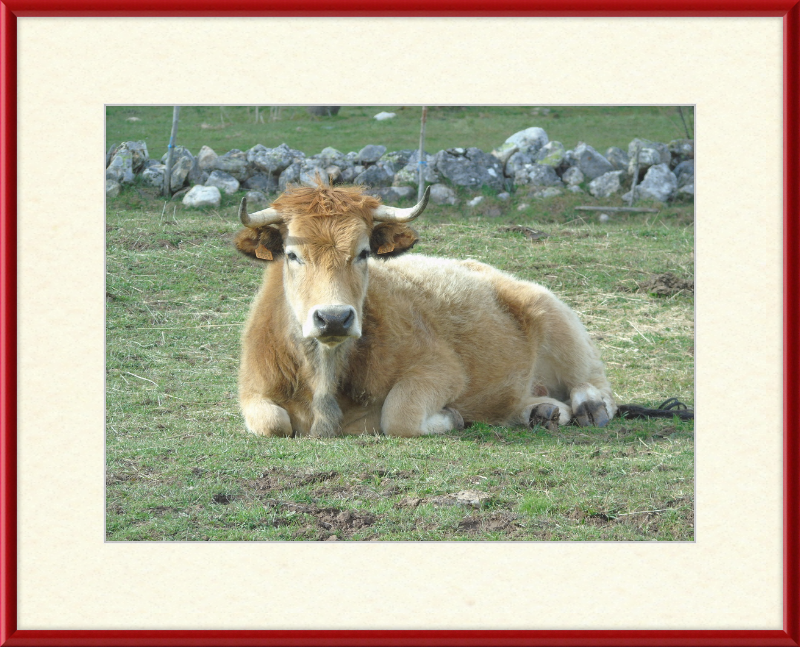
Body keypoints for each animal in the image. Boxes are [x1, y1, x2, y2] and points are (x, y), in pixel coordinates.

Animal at [234, 182, 616, 440]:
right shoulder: (253, 391)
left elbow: (398, 414)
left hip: (557, 320)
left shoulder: (442, 370)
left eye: (363, 252)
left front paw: (452, 418)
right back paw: (541, 411)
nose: (334, 318)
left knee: (595, 384)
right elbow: (272, 423)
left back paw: (589, 407)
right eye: (292, 254)